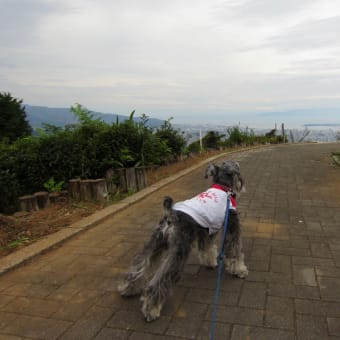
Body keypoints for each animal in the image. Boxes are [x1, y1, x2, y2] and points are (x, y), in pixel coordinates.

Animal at [118, 159, 248, 322]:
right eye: (236, 170)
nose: (241, 183)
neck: (223, 188)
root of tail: (170, 216)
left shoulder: (207, 231)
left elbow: (207, 249)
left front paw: (210, 262)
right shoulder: (231, 228)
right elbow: (235, 251)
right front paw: (240, 270)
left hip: (155, 243)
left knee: (140, 265)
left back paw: (127, 289)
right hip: (179, 251)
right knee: (160, 280)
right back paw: (151, 309)